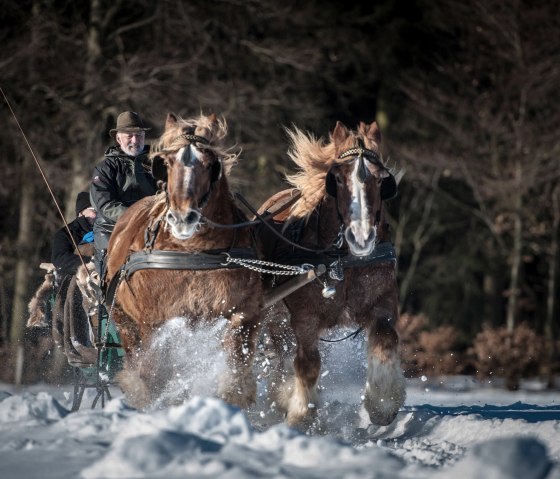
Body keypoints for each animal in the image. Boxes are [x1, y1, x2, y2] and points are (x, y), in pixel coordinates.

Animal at [105, 112, 262, 408]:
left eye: (210, 164)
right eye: (166, 163)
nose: (181, 218)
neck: (194, 253)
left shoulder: (243, 312)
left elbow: (235, 371)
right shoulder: (153, 323)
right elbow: (152, 376)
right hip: (123, 319)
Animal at [258, 122, 406, 430]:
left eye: (382, 180)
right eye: (336, 179)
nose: (361, 236)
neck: (341, 260)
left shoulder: (383, 302)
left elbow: (386, 340)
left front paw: (382, 404)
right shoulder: (305, 318)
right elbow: (308, 364)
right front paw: (301, 414)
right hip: (275, 317)